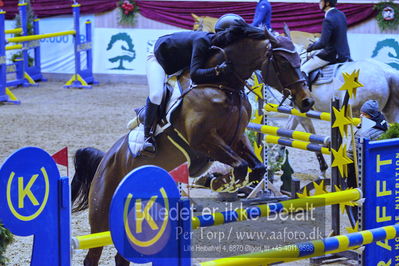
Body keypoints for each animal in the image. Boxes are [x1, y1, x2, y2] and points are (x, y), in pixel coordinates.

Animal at [72, 23, 316, 264]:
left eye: (299, 59)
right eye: (283, 61)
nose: (307, 101)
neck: (221, 85)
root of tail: (105, 160)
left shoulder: (236, 138)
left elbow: (257, 167)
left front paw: (230, 184)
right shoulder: (204, 140)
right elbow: (239, 166)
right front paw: (223, 183)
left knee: (122, 257)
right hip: (101, 216)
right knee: (92, 255)